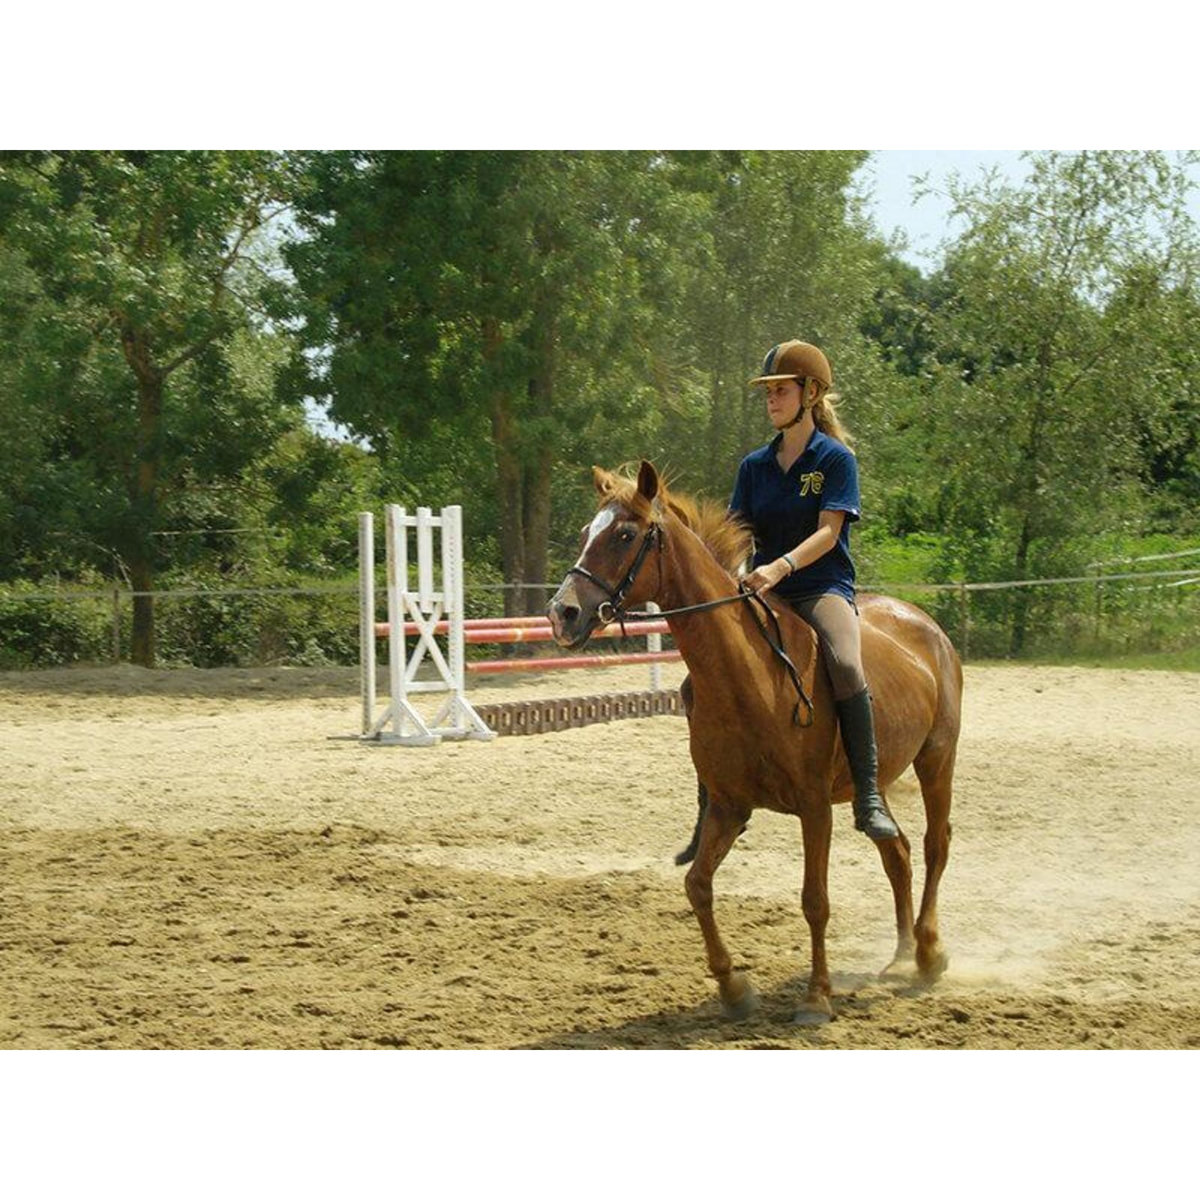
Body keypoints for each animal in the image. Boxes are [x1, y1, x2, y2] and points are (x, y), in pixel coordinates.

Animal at [547, 461, 962, 1024]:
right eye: (586, 533)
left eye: (625, 535)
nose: (561, 613)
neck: (749, 677)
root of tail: (923, 623)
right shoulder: (729, 805)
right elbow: (697, 886)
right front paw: (733, 988)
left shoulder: (814, 807)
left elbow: (814, 900)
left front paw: (816, 997)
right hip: (866, 786)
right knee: (895, 849)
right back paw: (899, 957)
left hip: (937, 758)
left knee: (934, 843)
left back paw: (927, 952)